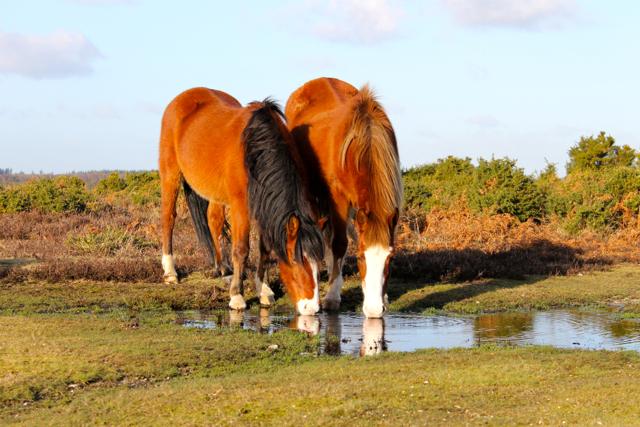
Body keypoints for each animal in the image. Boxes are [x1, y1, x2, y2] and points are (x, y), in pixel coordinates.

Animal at [159, 87, 324, 315]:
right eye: (295, 260)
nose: (312, 308)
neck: (256, 149)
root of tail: (183, 97)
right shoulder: (241, 207)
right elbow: (241, 249)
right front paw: (237, 296)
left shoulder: (263, 204)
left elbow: (264, 250)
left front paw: (264, 290)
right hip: (170, 175)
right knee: (169, 218)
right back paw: (170, 272)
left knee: (213, 220)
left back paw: (223, 268)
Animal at [285, 77, 402, 318]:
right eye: (360, 258)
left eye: (391, 258)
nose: (374, 310)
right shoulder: (337, 198)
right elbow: (339, 243)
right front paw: (332, 296)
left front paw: (383, 297)